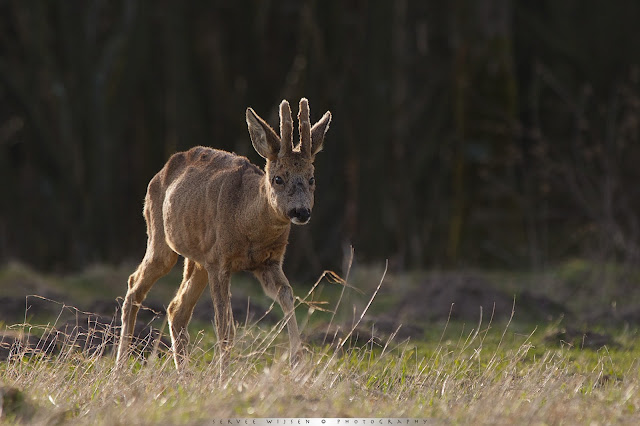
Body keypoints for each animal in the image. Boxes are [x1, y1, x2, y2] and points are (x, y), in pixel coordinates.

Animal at [117, 98, 332, 368]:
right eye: (278, 179)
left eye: (311, 178)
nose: (301, 212)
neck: (247, 222)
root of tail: (162, 171)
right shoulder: (220, 262)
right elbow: (224, 325)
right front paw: (224, 372)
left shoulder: (269, 262)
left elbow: (287, 295)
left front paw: (298, 362)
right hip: (160, 237)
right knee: (135, 284)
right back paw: (120, 367)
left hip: (198, 259)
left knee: (176, 309)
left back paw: (183, 371)